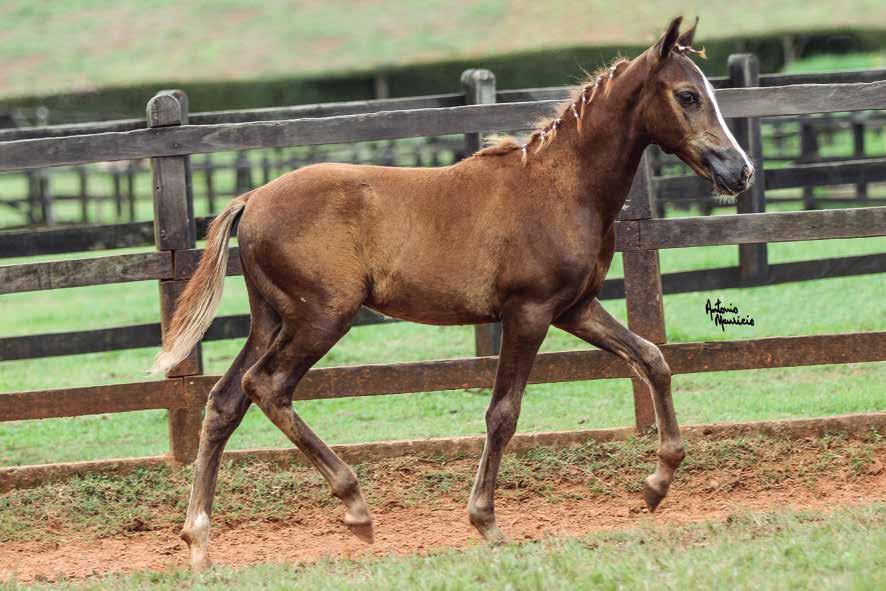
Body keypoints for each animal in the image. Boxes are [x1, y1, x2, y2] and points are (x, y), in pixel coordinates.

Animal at [154, 17, 756, 568]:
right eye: (687, 95)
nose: (741, 171)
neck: (563, 187)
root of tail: (252, 199)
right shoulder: (529, 312)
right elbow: (503, 413)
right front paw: (485, 520)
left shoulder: (576, 309)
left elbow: (652, 358)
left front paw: (658, 482)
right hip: (320, 319)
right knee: (267, 387)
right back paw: (355, 507)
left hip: (273, 320)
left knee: (225, 400)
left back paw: (199, 540)